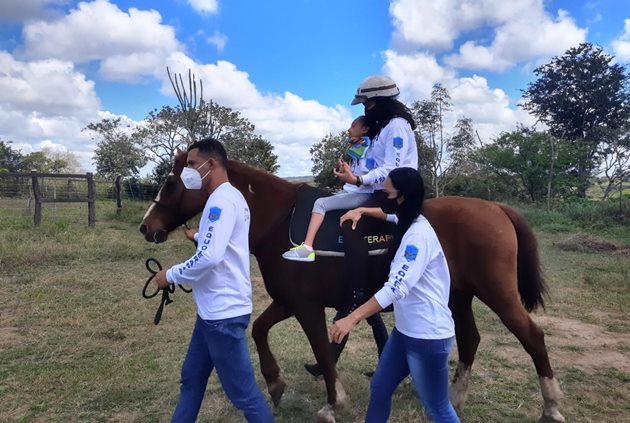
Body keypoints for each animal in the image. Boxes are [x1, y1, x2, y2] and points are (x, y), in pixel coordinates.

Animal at [141, 154, 564, 423]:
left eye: (170, 181)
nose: (147, 226)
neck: (279, 222)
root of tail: (496, 209)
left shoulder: (307, 308)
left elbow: (322, 350)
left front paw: (333, 403)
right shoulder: (288, 301)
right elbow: (260, 330)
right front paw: (275, 383)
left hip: (498, 293)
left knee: (532, 337)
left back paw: (551, 406)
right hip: (459, 295)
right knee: (471, 339)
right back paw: (455, 398)